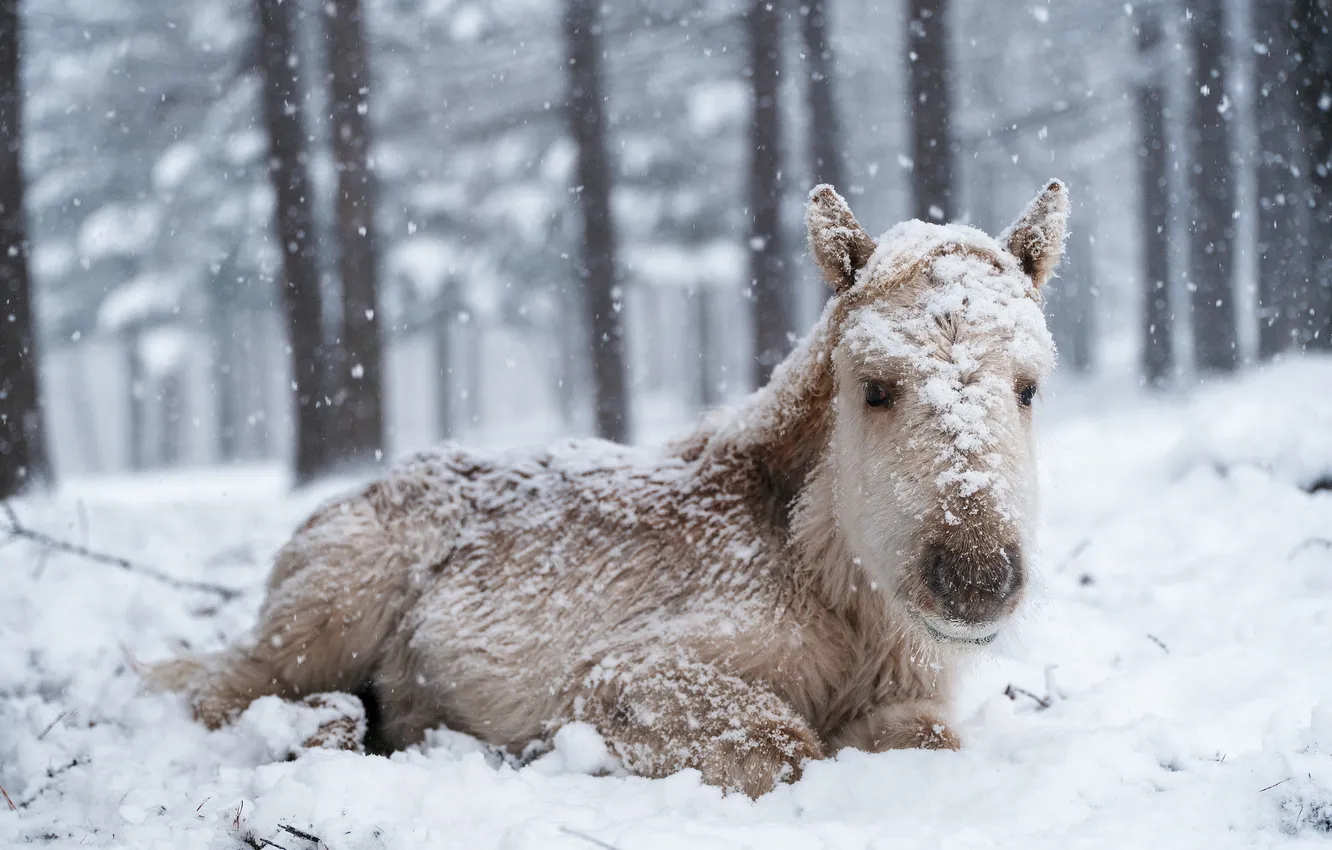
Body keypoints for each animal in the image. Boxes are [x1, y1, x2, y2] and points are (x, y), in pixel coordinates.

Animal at [149, 179, 1069, 797]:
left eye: (1029, 387)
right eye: (875, 386)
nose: (976, 577)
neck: (830, 584)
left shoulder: (910, 701)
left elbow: (929, 741)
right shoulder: (620, 673)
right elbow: (786, 746)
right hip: (325, 616)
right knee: (219, 690)